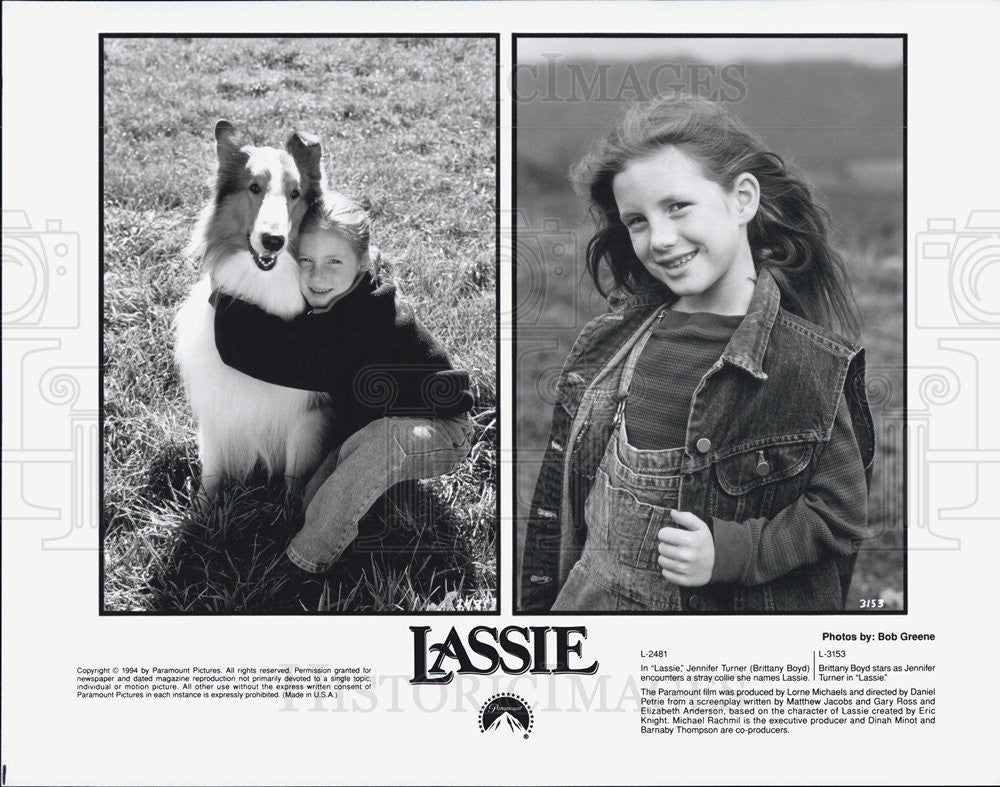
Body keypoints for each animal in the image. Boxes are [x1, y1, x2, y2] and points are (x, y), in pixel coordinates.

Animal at [172, 119, 328, 496]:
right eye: (254, 187)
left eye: (295, 193)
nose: (273, 241)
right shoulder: (218, 407)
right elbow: (212, 472)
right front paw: (204, 506)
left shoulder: (305, 416)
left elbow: (293, 477)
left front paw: (290, 509)